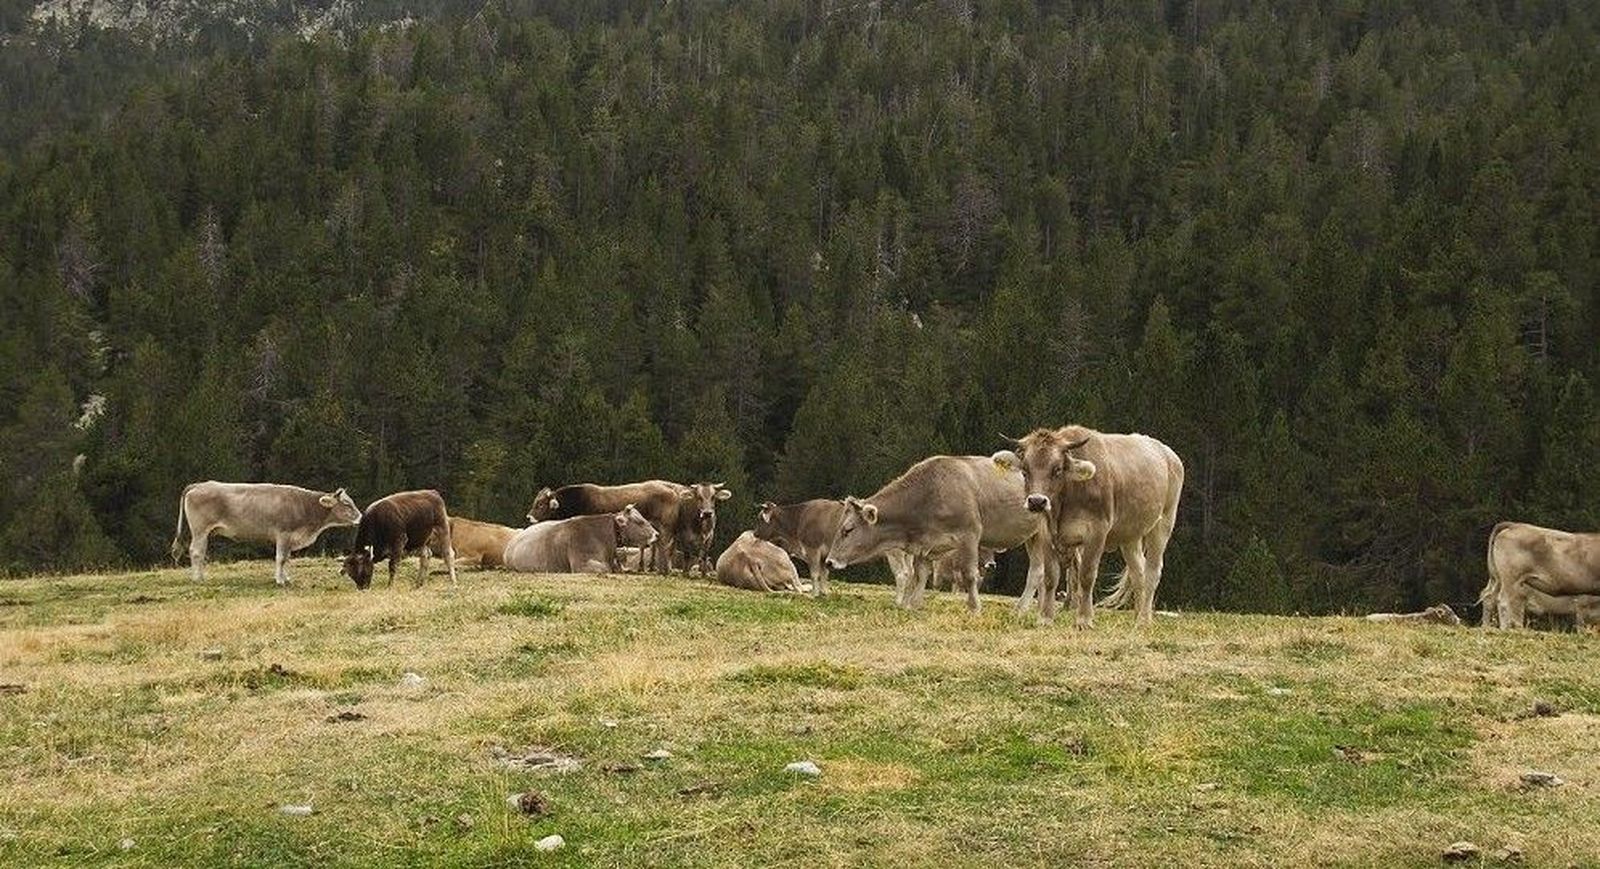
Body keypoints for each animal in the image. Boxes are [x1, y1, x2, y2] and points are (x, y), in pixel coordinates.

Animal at [170, 481, 362, 585]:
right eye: (346, 504)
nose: (361, 518)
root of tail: (200, 484)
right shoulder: (283, 533)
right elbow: (281, 558)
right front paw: (280, 580)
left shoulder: (289, 538)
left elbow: (287, 558)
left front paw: (286, 578)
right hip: (200, 530)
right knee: (196, 552)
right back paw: (198, 578)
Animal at [823, 455, 1051, 613]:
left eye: (848, 529)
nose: (829, 562)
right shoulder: (925, 545)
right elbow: (920, 575)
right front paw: (913, 605)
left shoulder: (969, 535)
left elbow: (970, 575)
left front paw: (974, 608)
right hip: (1033, 537)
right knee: (1038, 573)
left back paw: (1023, 609)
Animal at [1005, 426, 1183, 628]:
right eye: (1025, 470)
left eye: (1057, 469)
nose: (1037, 502)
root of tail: (1168, 454)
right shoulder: (1045, 533)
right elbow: (1050, 577)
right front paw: (1045, 619)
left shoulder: (1097, 532)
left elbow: (1086, 575)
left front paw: (1084, 620)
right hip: (1130, 535)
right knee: (1139, 573)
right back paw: (1137, 616)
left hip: (1164, 523)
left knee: (1152, 571)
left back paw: (1144, 620)